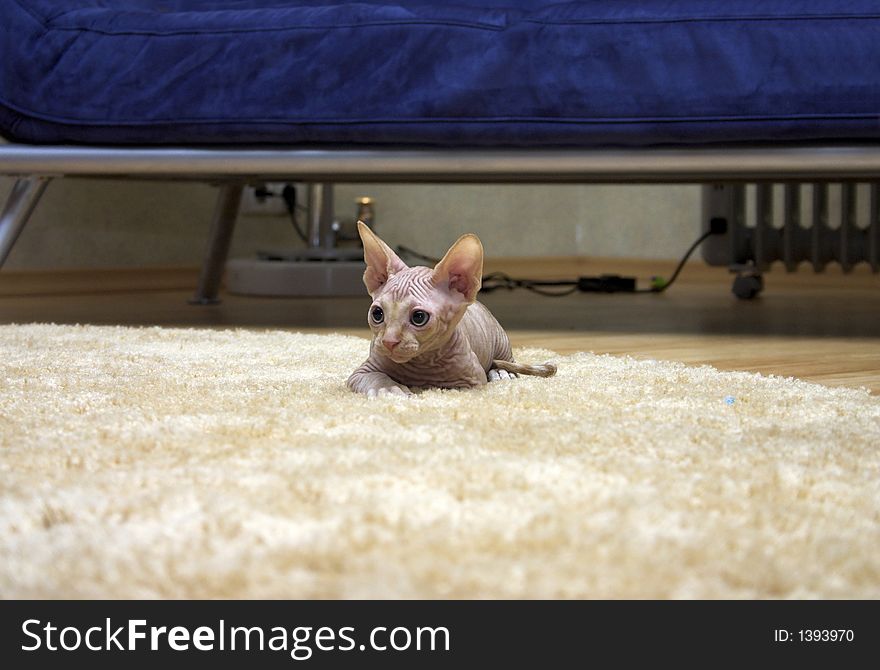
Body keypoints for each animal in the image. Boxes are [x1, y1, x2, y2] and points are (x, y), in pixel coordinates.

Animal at [346, 223, 556, 396]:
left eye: (419, 317)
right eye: (377, 314)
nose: (388, 342)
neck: (422, 361)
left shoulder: (472, 381)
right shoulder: (362, 371)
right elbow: (375, 376)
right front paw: (389, 389)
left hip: (500, 340)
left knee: (507, 359)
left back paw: (502, 371)